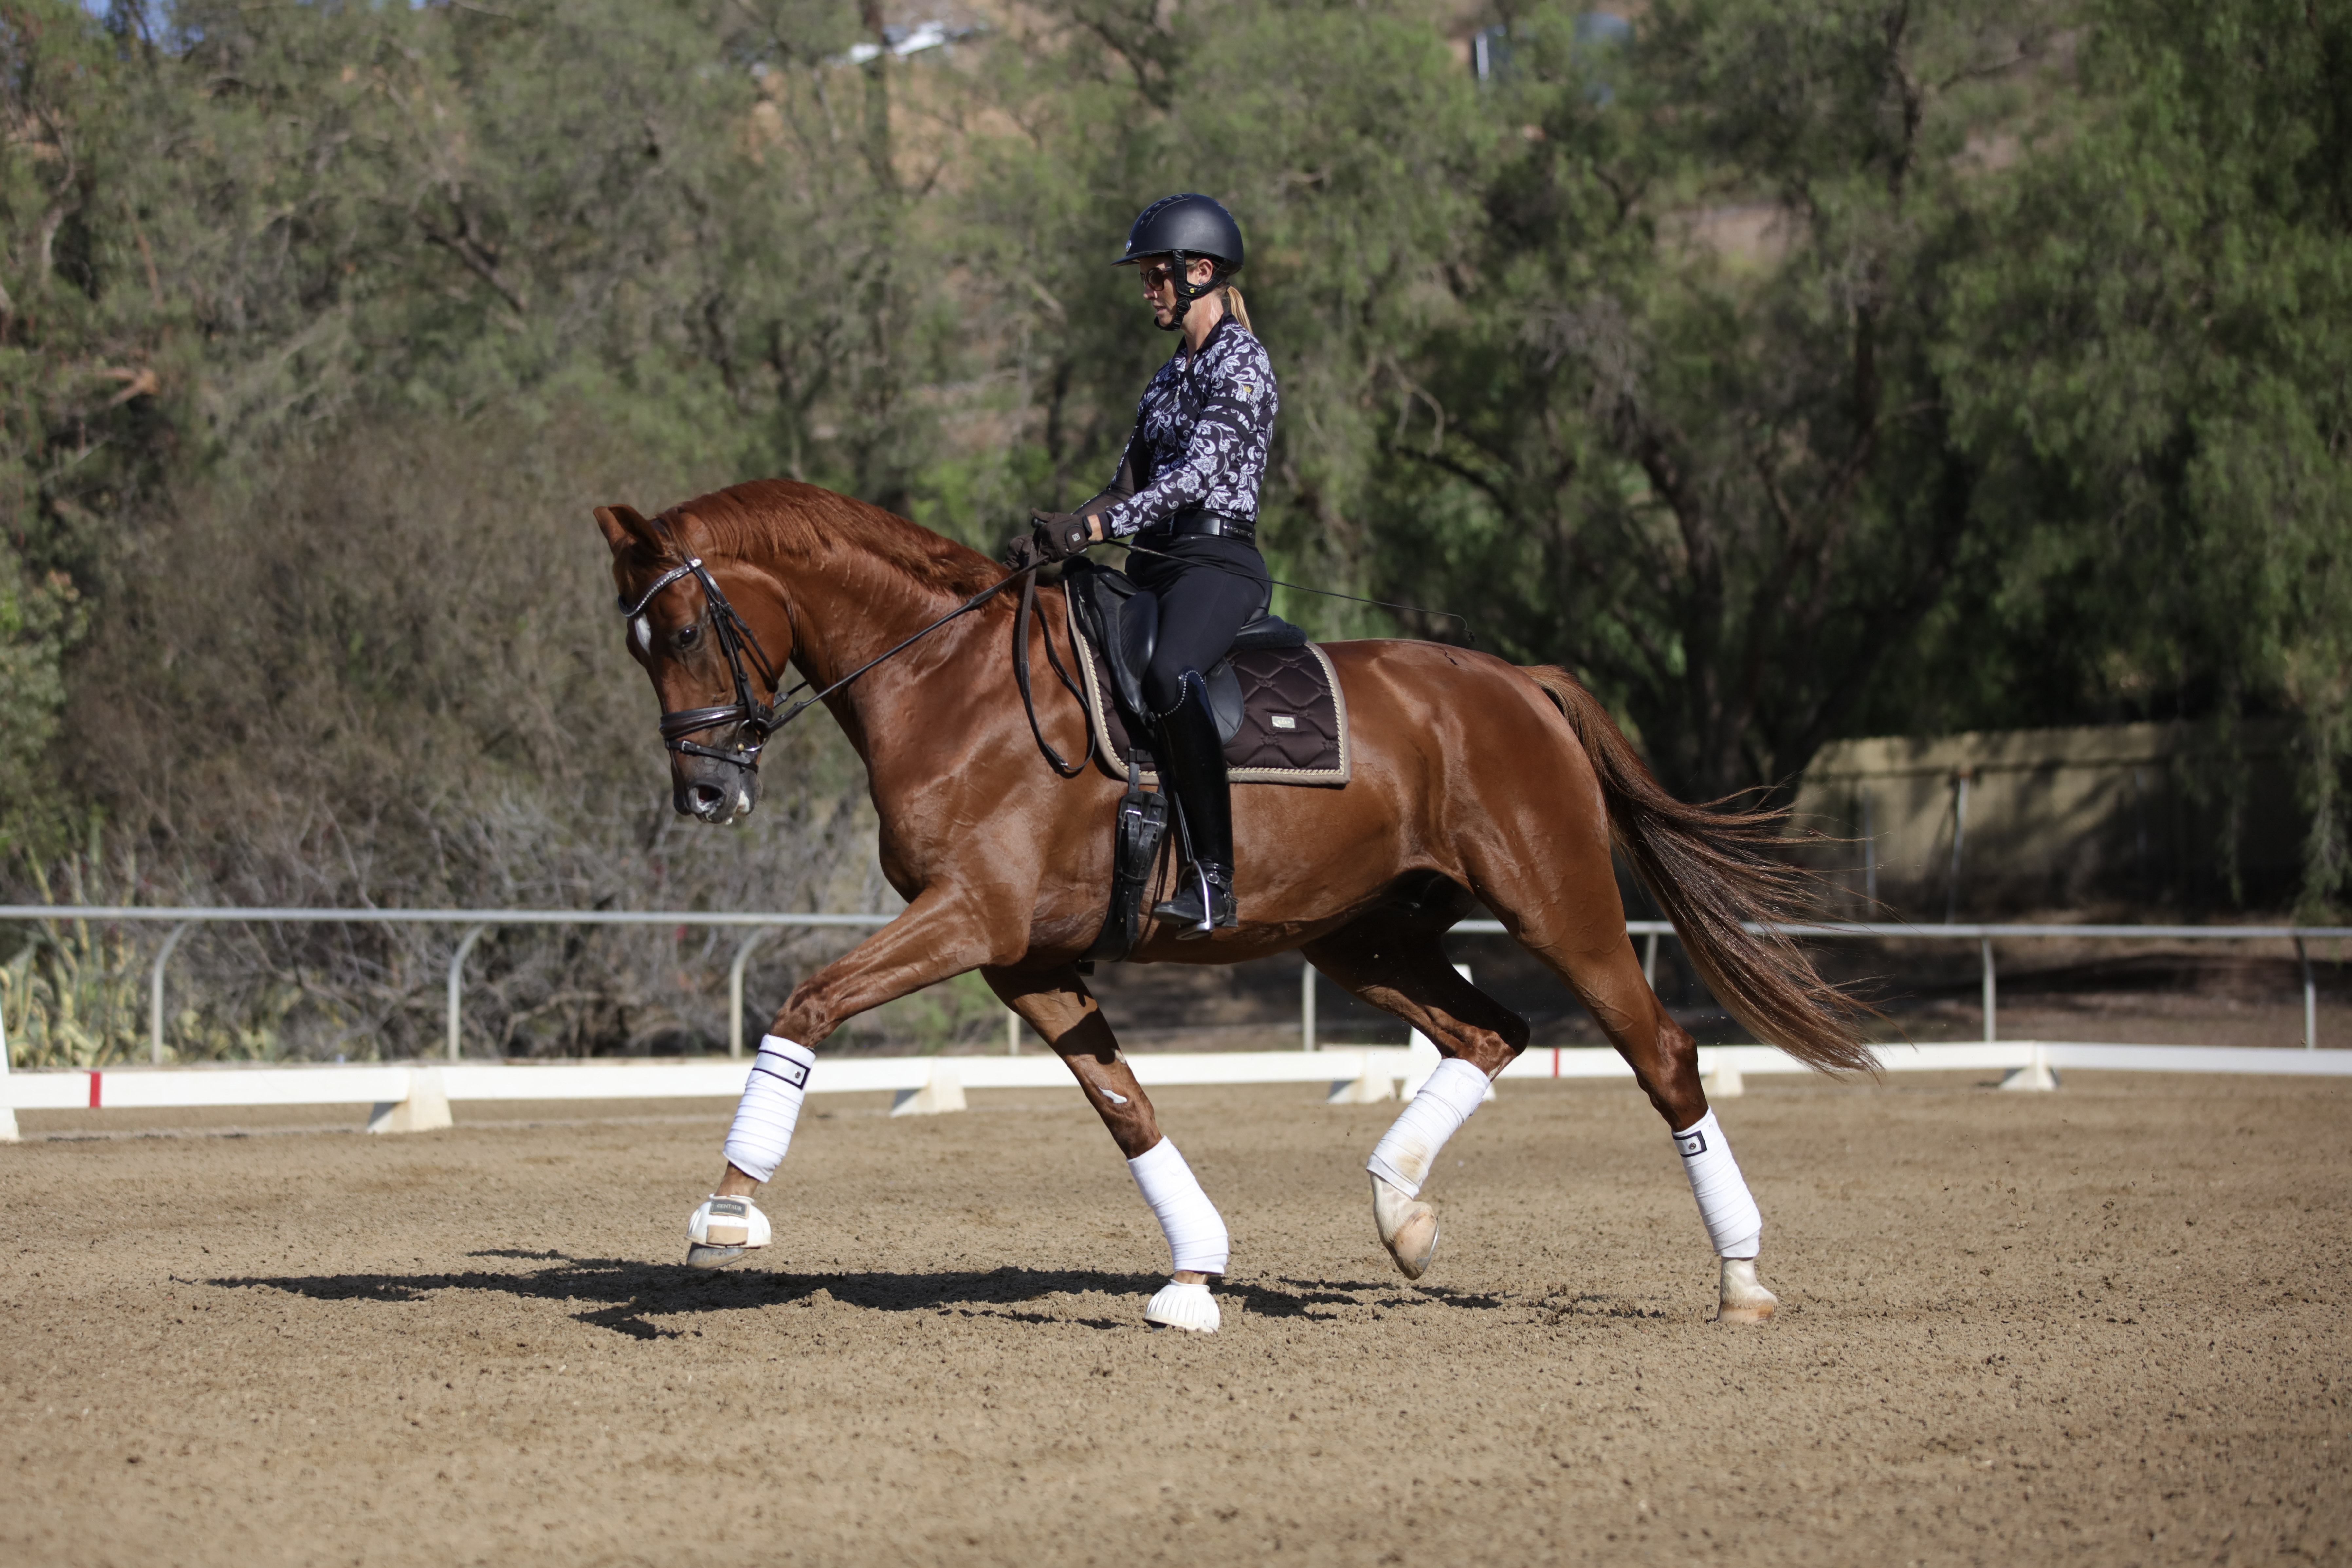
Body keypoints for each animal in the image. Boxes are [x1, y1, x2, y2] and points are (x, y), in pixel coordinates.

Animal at [593, 480, 1872, 1326]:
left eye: (687, 627)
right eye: (637, 645)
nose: (706, 792)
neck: (947, 685)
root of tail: (1520, 681)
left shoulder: (970, 920)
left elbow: (806, 1004)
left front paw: (727, 1215)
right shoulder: (1024, 959)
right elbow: (1125, 1107)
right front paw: (1195, 1273)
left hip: (1561, 910)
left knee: (1661, 1054)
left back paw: (1741, 1278)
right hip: (1362, 938)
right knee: (1489, 1032)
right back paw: (1402, 1219)